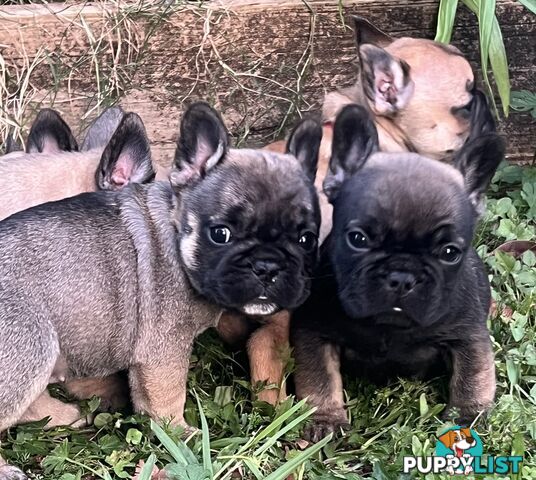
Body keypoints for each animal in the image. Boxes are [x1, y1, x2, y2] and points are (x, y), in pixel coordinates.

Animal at [292, 105, 504, 442]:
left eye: (449, 253)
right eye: (358, 239)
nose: (402, 276)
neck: (388, 327)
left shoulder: (468, 336)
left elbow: (472, 377)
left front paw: (466, 419)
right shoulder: (315, 332)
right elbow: (319, 378)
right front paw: (326, 419)